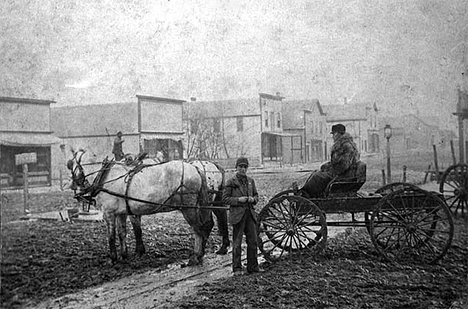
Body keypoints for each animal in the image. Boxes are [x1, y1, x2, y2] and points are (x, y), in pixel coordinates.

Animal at [67, 149, 214, 264]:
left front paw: (113, 258)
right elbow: (122, 233)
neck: (105, 175)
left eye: (71, 165)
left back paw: (196, 256)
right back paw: (201, 254)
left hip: (188, 208)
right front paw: (124, 255)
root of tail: (195, 168)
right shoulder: (121, 213)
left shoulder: (109, 213)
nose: (74, 185)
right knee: (206, 226)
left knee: (198, 229)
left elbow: (111, 236)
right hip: (197, 206)